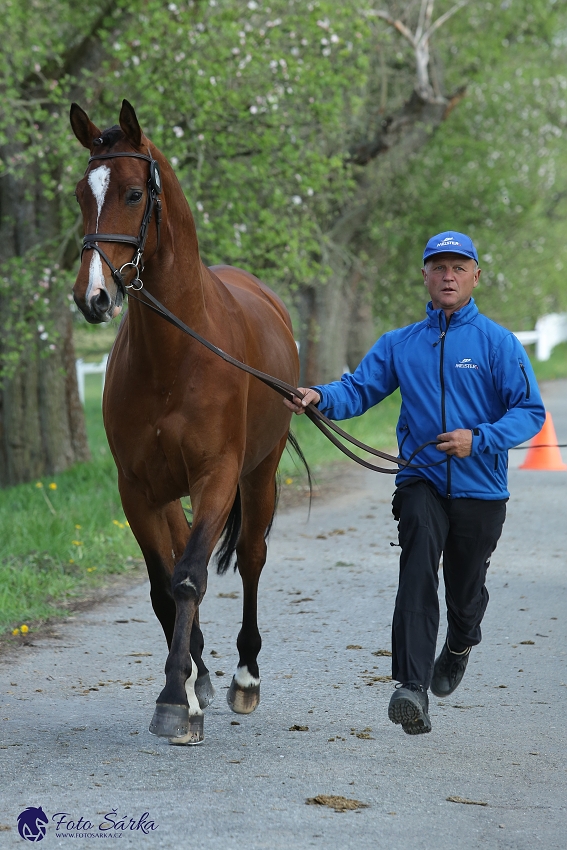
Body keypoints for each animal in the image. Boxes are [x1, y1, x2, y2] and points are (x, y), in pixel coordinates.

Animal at [70, 101, 302, 744]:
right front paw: (186, 688)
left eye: (132, 193)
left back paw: (244, 678)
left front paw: (177, 700)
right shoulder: (139, 490)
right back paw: (202, 673)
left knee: (249, 557)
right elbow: (163, 588)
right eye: (80, 195)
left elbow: (192, 578)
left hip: (258, 477)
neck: (175, 355)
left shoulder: (217, 477)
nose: (93, 297)